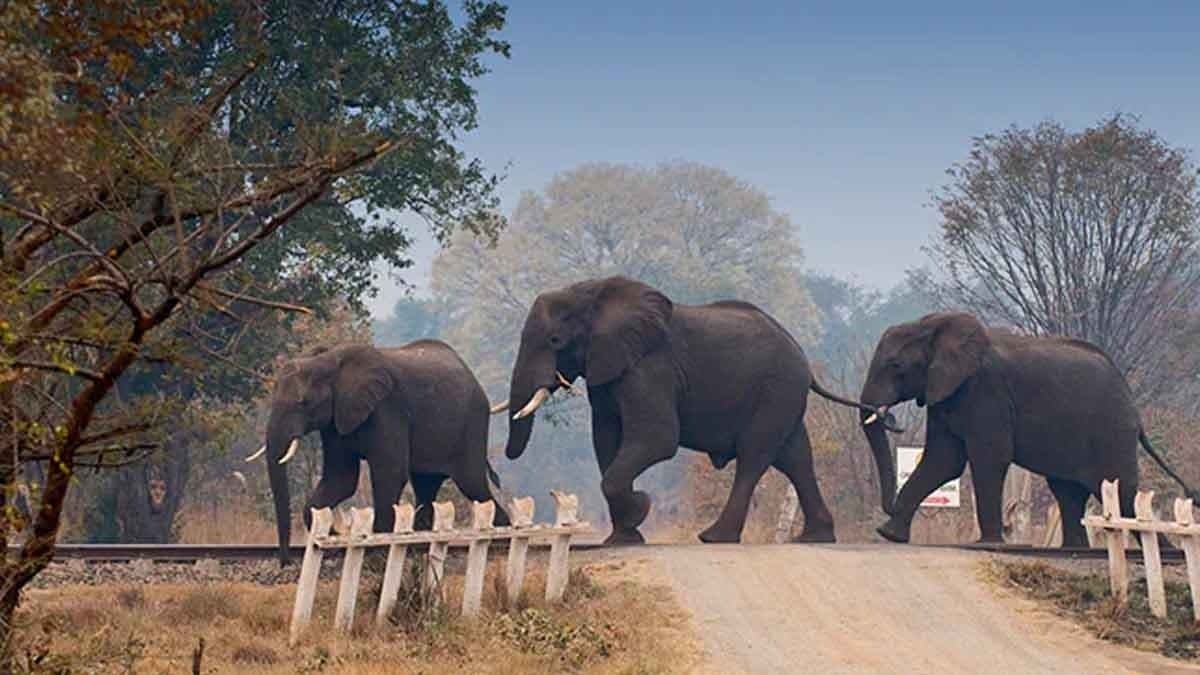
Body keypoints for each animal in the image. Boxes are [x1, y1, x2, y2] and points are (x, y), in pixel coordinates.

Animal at [248, 341, 509, 565]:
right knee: (426, 487)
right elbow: (341, 479)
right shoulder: (335, 421)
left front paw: (377, 549)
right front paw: (334, 535)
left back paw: (501, 543)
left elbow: (389, 473)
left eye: (303, 402)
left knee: (474, 485)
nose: (286, 562)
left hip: (472, 424)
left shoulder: (387, 408)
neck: (329, 361)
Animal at [496, 275, 874, 545]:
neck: (589, 293)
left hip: (777, 389)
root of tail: (804, 357)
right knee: (796, 457)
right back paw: (815, 537)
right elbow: (605, 441)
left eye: (555, 341)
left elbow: (657, 439)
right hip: (784, 395)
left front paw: (640, 508)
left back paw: (714, 537)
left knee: (755, 455)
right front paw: (624, 536)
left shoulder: (650, 367)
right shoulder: (607, 371)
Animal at [859, 311, 1198, 547]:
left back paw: (1165, 551)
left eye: (896, 366)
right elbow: (943, 461)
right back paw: (1073, 549)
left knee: (1121, 490)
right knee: (1067, 490)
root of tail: (1133, 405)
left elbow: (988, 458)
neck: (935, 324)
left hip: (1112, 429)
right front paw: (889, 535)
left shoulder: (987, 391)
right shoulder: (945, 394)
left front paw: (988, 543)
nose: (889, 418)